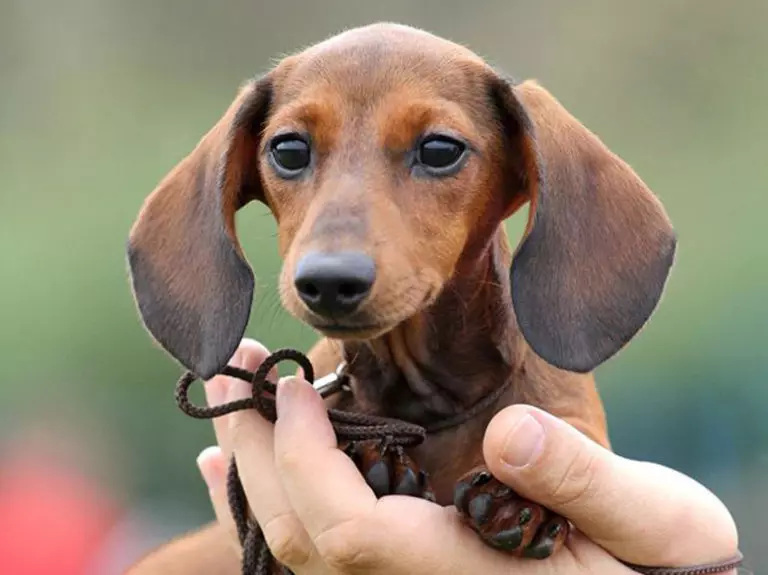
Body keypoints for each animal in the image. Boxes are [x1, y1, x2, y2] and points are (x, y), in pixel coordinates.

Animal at [126, 21, 680, 572]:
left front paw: (522, 502)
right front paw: (376, 457)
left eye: (439, 149)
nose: (329, 282)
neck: (425, 409)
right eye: (288, 150)